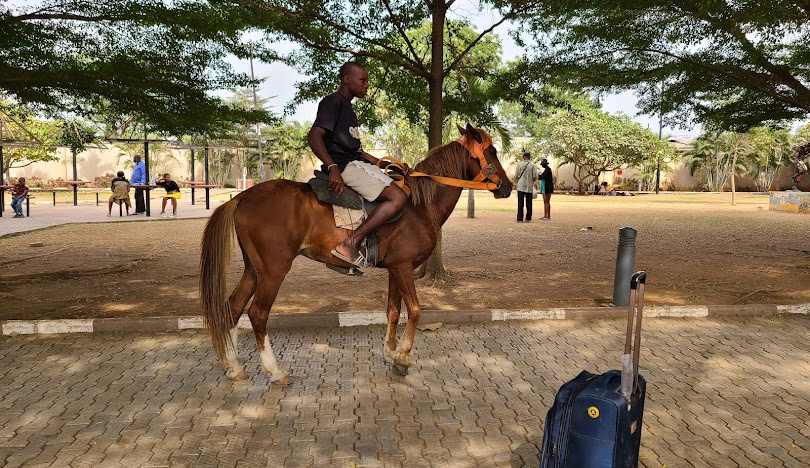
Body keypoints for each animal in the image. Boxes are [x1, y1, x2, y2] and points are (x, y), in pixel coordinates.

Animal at [198, 122, 508, 382]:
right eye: (492, 151)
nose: (507, 186)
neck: (419, 207)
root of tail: (241, 197)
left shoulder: (397, 269)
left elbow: (393, 311)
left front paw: (390, 353)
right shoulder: (404, 268)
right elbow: (416, 310)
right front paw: (403, 358)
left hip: (255, 269)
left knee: (232, 307)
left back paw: (234, 365)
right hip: (274, 270)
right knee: (257, 313)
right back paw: (275, 371)